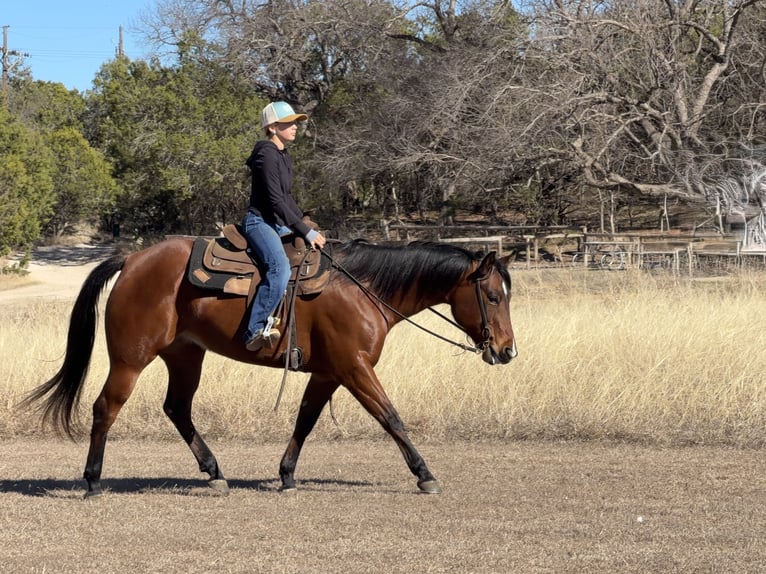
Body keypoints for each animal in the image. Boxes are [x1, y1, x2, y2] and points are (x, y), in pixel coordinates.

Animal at [23, 237, 517, 498]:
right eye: (493, 296)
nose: (508, 351)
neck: (364, 290)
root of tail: (132, 259)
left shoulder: (328, 373)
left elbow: (305, 421)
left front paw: (287, 474)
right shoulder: (355, 369)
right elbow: (391, 417)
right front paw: (425, 475)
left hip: (186, 354)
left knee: (177, 408)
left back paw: (215, 473)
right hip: (131, 358)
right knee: (106, 408)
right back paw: (92, 481)